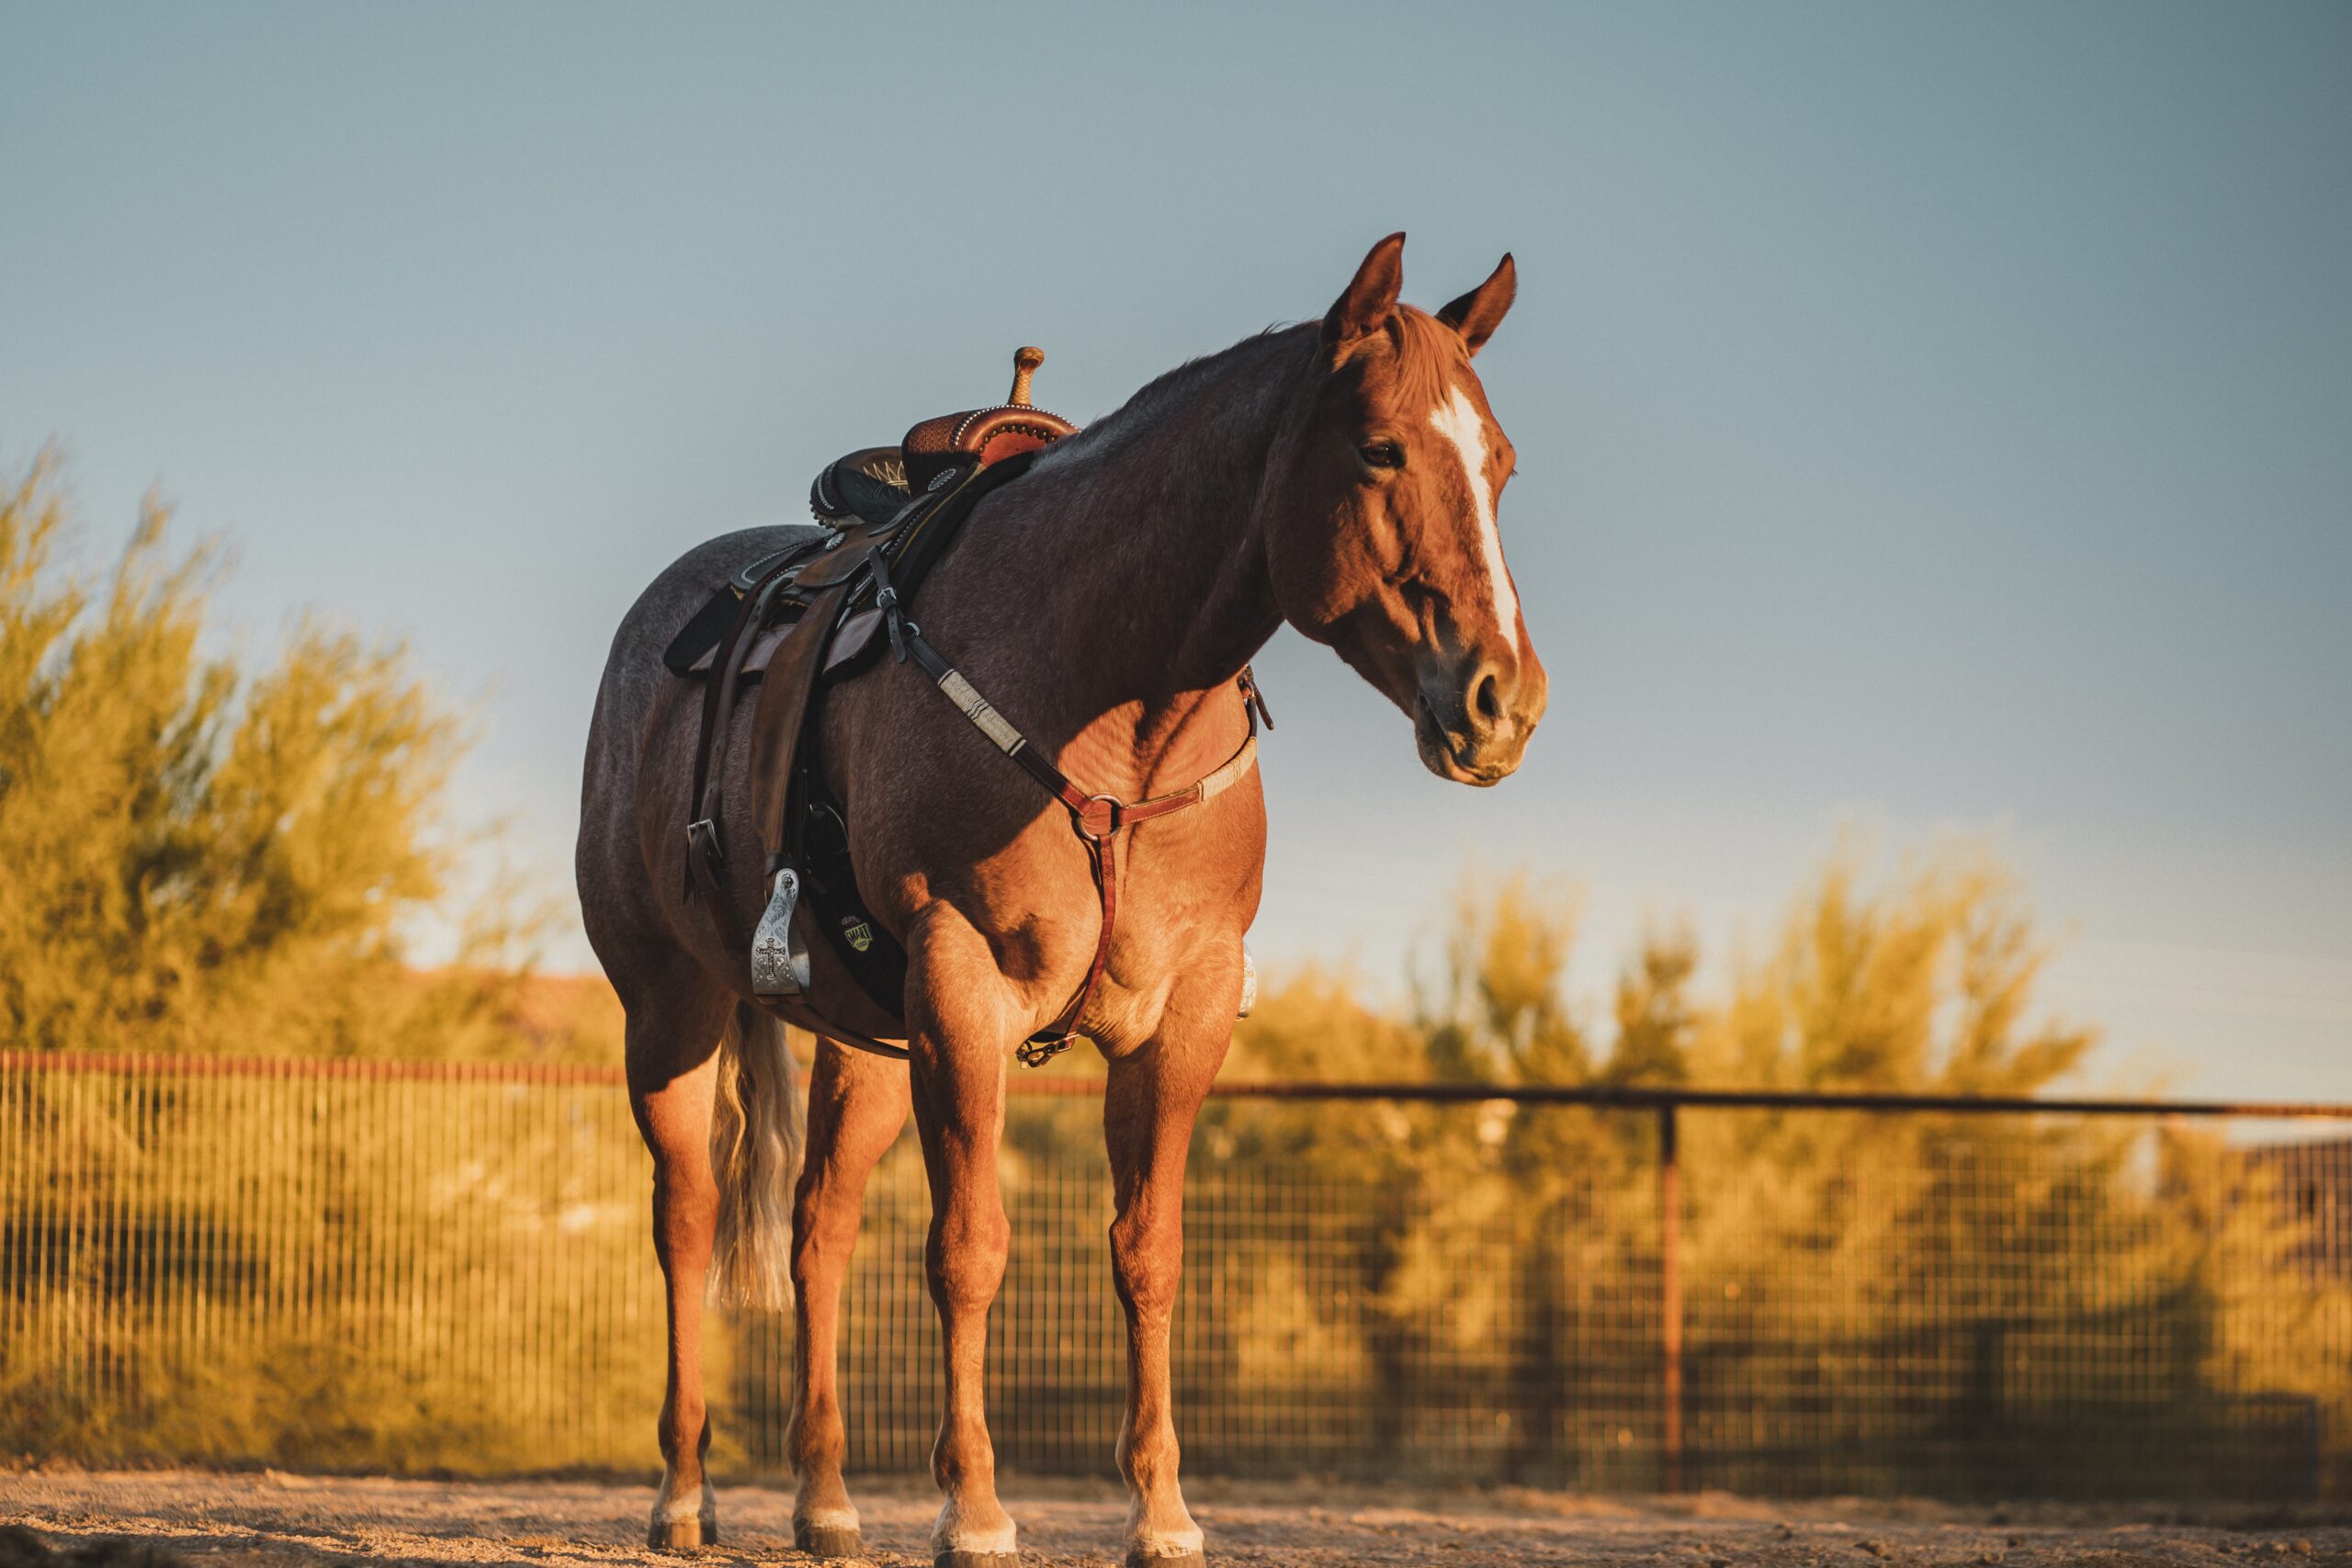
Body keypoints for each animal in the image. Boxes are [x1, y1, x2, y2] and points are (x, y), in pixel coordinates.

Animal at [573, 236, 1543, 1568]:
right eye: (1382, 449)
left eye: (1498, 462)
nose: (1504, 700)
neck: (1114, 696)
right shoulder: (963, 989)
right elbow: (970, 1248)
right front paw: (975, 1506)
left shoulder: (1182, 1015)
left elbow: (1149, 1254)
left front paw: (1162, 1509)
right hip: (670, 1007)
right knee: (684, 1217)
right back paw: (682, 1491)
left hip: (864, 1043)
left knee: (820, 1230)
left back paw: (825, 1498)